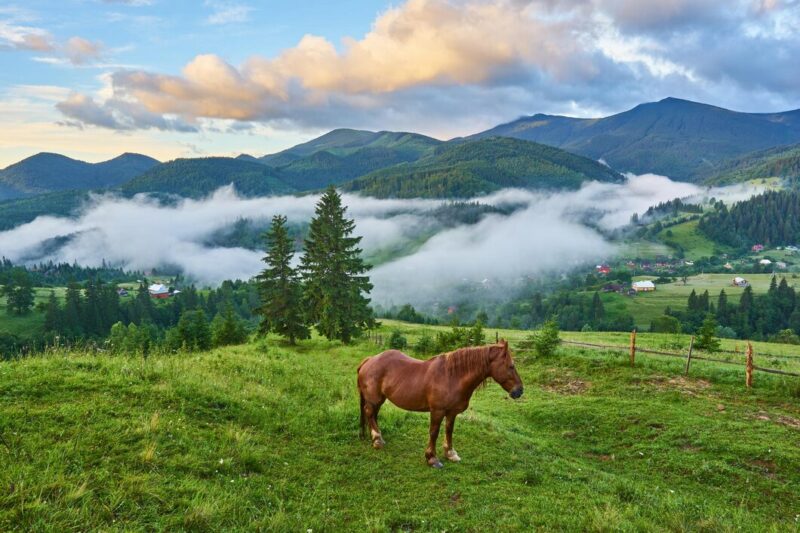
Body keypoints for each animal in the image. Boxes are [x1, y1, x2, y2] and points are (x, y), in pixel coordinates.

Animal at [358, 340, 520, 466]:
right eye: (511, 366)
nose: (519, 390)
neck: (452, 376)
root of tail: (369, 360)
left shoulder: (452, 412)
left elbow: (449, 430)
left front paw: (450, 453)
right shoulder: (437, 411)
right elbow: (434, 432)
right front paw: (432, 458)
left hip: (379, 399)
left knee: (372, 415)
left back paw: (375, 437)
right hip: (374, 399)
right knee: (369, 413)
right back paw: (377, 440)